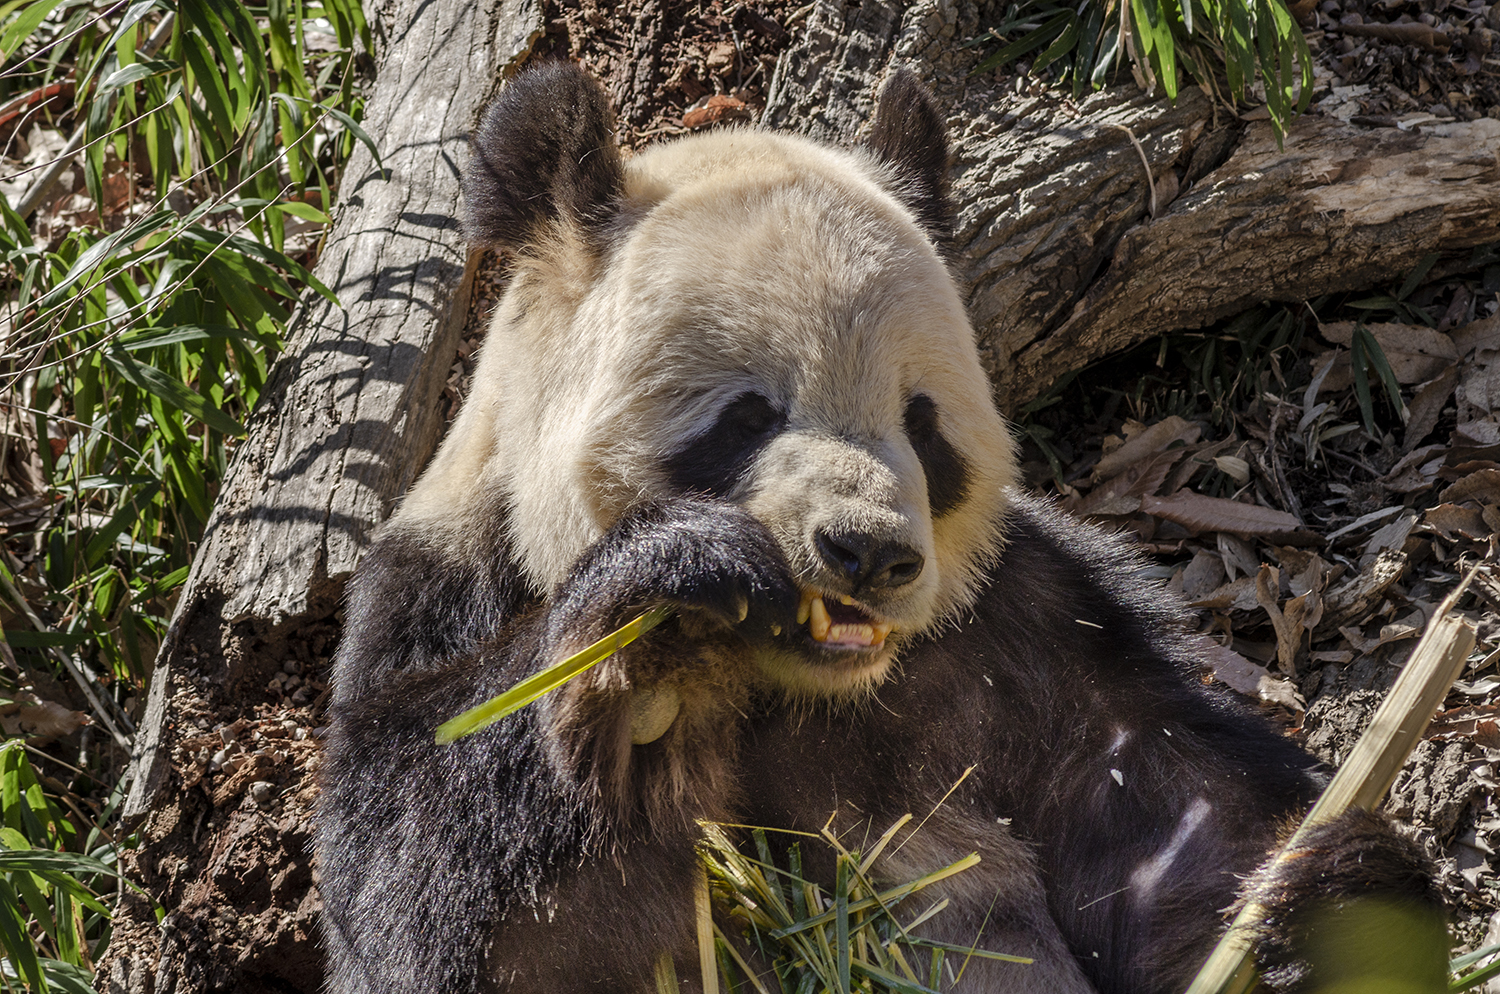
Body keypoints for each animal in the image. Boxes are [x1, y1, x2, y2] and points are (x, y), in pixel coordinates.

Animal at [315, 62, 1446, 994]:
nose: (868, 554)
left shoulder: (1022, 631)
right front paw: (655, 643)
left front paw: (1330, 897)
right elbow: (432, 898)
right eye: (747, 415)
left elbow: (1162, 822)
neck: (798, 687)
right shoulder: (439, 591)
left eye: (922, 423)